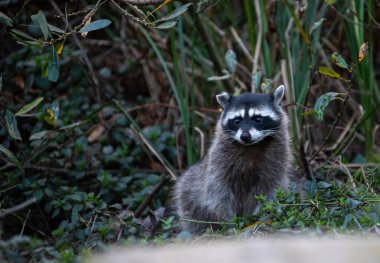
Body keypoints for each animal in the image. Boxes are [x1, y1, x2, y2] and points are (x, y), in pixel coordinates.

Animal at [174, 85, 292, 234]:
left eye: (258, 119)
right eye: (237, 121)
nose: (245, 136)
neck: (252, 146)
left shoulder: (276, 159)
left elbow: (271, 188)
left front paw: (260, 216)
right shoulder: (219, 161)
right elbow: (218, 191)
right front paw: (228, 221)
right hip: (191, 188)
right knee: (189, 198)